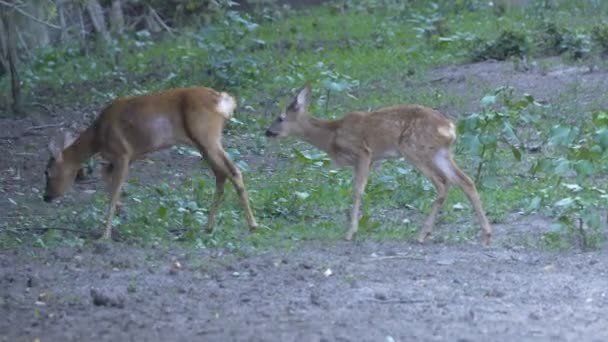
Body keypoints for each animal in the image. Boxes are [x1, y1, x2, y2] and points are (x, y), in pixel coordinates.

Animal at [44, 87, 258, 239]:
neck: (98, 137)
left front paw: (105, 235)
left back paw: (252, 225)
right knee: (221, 174)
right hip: (202, 143)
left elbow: (114, 190)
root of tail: (222, 101)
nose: (46, 197)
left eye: (48, 172)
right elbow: (107, 180)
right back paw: (209, 226)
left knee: (233, 170)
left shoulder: (122, 153)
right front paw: (122, 214)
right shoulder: (125, 157)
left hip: (207, 137)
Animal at [264, 87, 492, 244]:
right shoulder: (371, 159)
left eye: (280, 118)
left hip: (413, 148)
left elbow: (357, 191)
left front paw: (351, 232)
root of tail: (450, 127)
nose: (267, 132)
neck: (330, 135)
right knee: (465, 180)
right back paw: (486, 234)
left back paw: (422, 234)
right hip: (440, 153)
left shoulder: (363, 152)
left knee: (443, 182)